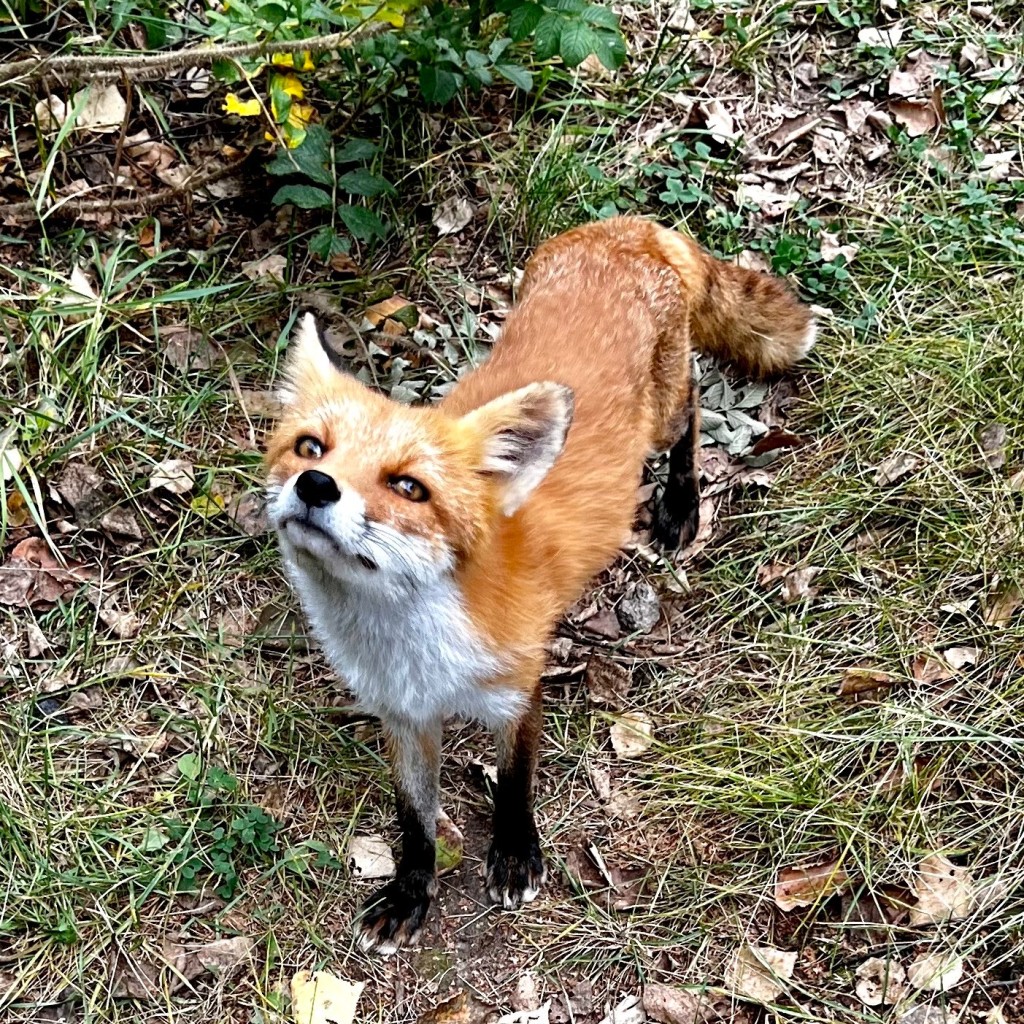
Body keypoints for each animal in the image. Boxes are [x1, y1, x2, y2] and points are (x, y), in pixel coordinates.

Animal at [264, 214, 815, 950]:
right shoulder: (405, 717)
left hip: (664, 414)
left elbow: (515, 780)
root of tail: (632, 226)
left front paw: (516, 855)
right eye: (310, 448)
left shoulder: (519, 687)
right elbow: (415, 819)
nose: (315, 486)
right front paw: (410, 893)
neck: (408, 639)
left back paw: (681, 502)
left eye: (409, 487)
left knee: (694, 405)